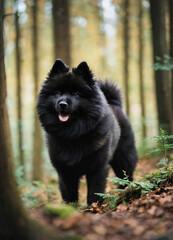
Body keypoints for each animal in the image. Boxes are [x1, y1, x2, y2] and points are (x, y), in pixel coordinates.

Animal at [36, 59, 138, 204]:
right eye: (58, 93)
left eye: (76, 94)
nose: (62, 104)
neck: (72, 134)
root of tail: (115, 105)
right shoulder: (65, 171)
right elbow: (69, 194)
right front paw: (70, 207)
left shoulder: (97, 168)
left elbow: (94, 192)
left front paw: (93, 207)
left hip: (123, 158)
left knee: (126, 176)